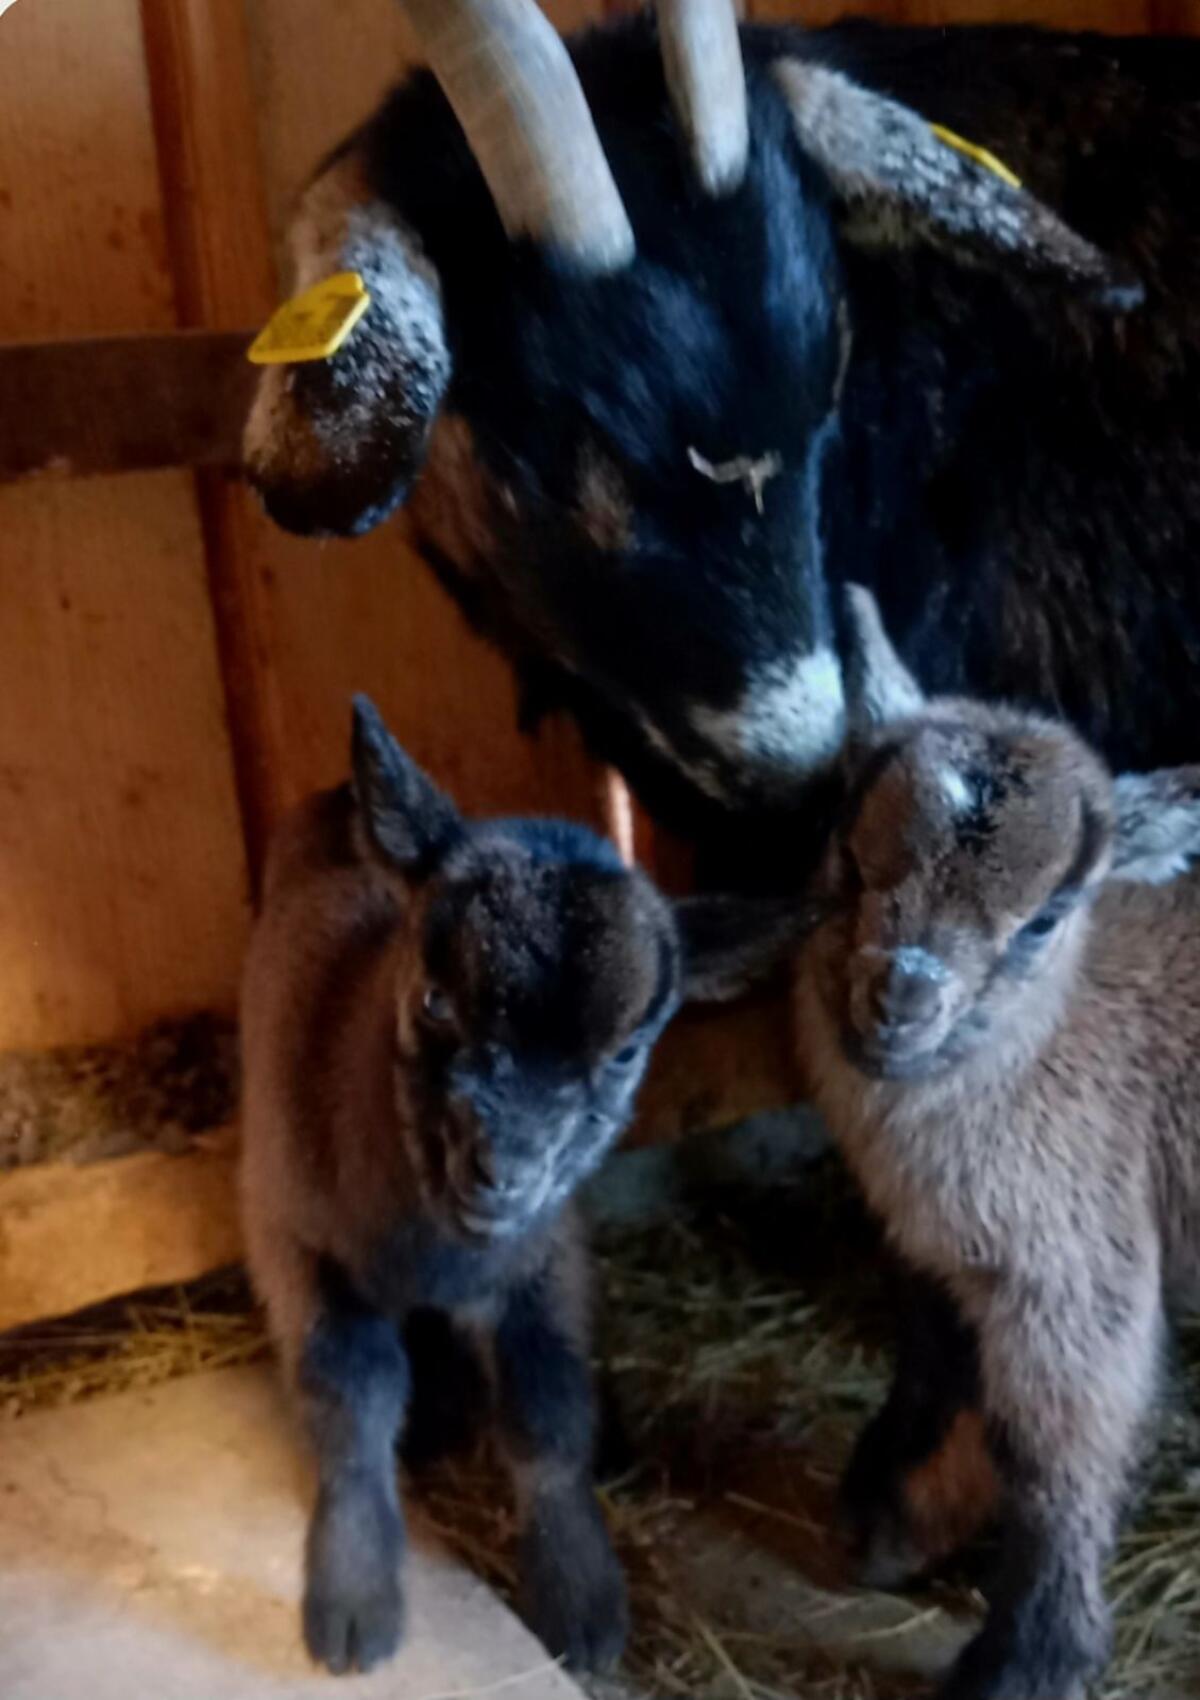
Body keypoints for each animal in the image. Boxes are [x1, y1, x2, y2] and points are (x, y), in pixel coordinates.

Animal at [239, 694, 797, 1675]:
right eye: (433, 1000)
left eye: (626, 1050)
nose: (505, 1172)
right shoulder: (294, 1239)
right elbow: (350, 1404)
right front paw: (353, 1604)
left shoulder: (544, 1255)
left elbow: (547, 1410)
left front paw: (582, 1603)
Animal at [795, 586, 1200, 1700]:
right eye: (849, 854)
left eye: (1046, 918)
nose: (901, 997)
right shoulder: (943, 1253)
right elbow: (938, 1370)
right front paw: (894, 1517)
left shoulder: (1075, 1263)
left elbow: (1058, 1458)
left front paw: (1029, 1656)